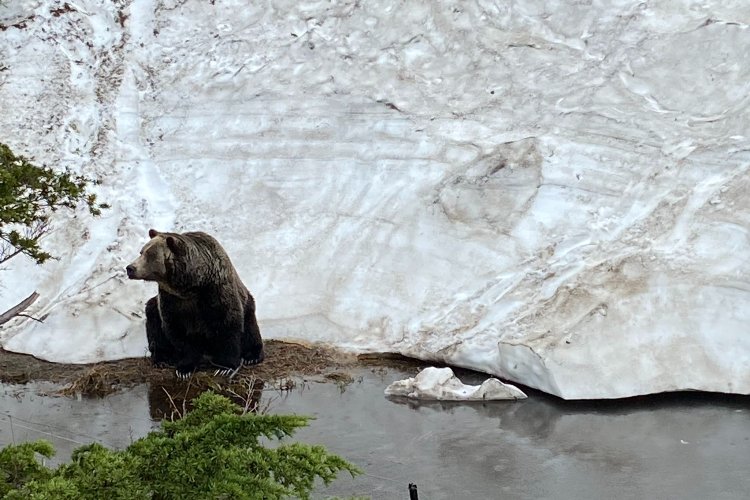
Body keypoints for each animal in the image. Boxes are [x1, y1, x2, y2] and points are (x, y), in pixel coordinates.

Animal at [126, 229, 264, 379]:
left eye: (149, 254)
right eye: (141, 252)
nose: (130, 268)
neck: (191, 287)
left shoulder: (215, 291)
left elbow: (228, 325)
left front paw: (224, 367)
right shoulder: (171, 300)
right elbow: (178, 332)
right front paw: (184, 369)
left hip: (248, 303)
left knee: (250, 329)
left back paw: (252, 356)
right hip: (154, 309)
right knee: (154, 325)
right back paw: (162, 359)